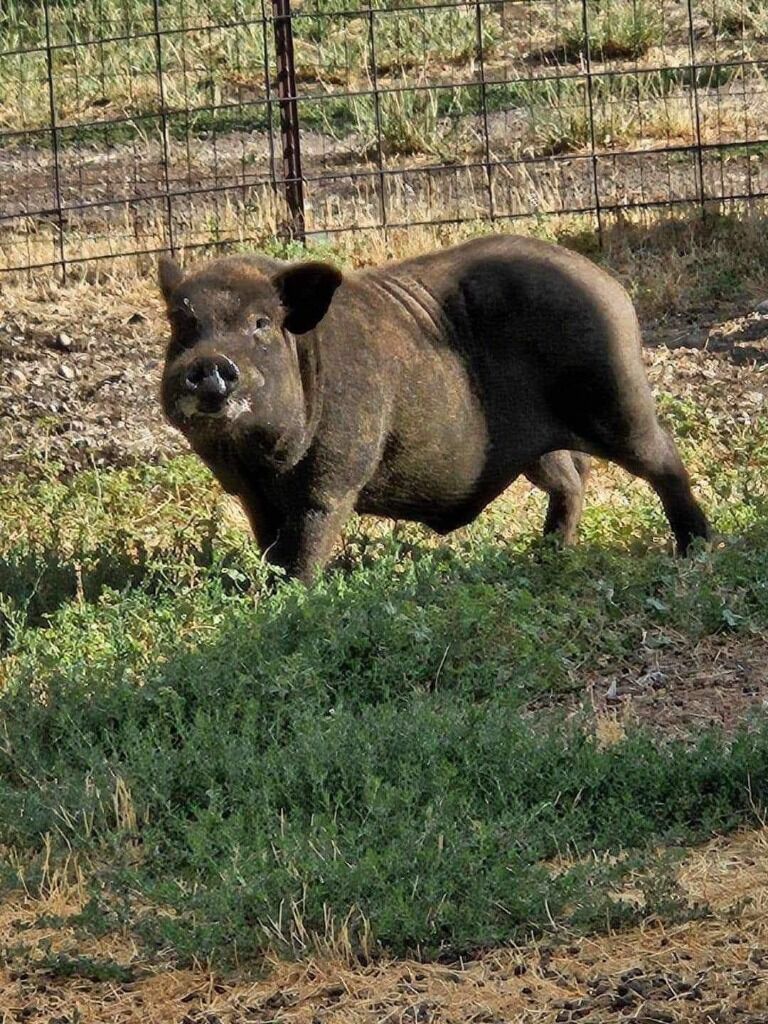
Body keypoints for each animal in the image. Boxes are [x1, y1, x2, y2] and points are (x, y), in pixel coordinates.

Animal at [158, 235, 709, 583]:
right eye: (181, 324)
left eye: (261, 324)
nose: (210, 364)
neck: (258, 460)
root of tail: (610, 286)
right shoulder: (252, 496)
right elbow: (270, 546)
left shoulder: (333, 477)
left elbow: (306, 547)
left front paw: (291, 596)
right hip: (540, 447)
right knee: (572, 478)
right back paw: (547, 553)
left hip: (617, 399)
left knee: (664, 459)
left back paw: (695, 550)